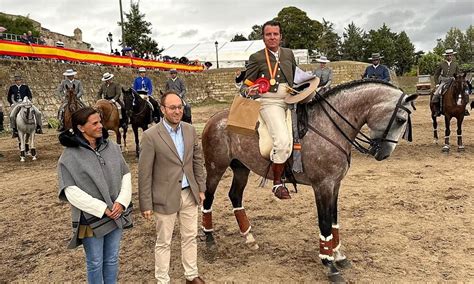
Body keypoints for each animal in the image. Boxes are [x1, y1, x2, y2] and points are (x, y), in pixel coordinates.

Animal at [200, 79, 418, 282]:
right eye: (400, 120)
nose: (384, 154)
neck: (330, 128)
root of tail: (213, 119)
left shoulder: (335, 185)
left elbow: (334, 220)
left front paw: (338, 255)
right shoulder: (322, 186)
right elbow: (325, 223)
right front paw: (329, 265)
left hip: (241, 168)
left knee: (235, 196)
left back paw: (249, 237)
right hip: (215, 168)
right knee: (208, 198)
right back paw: (209, 238)